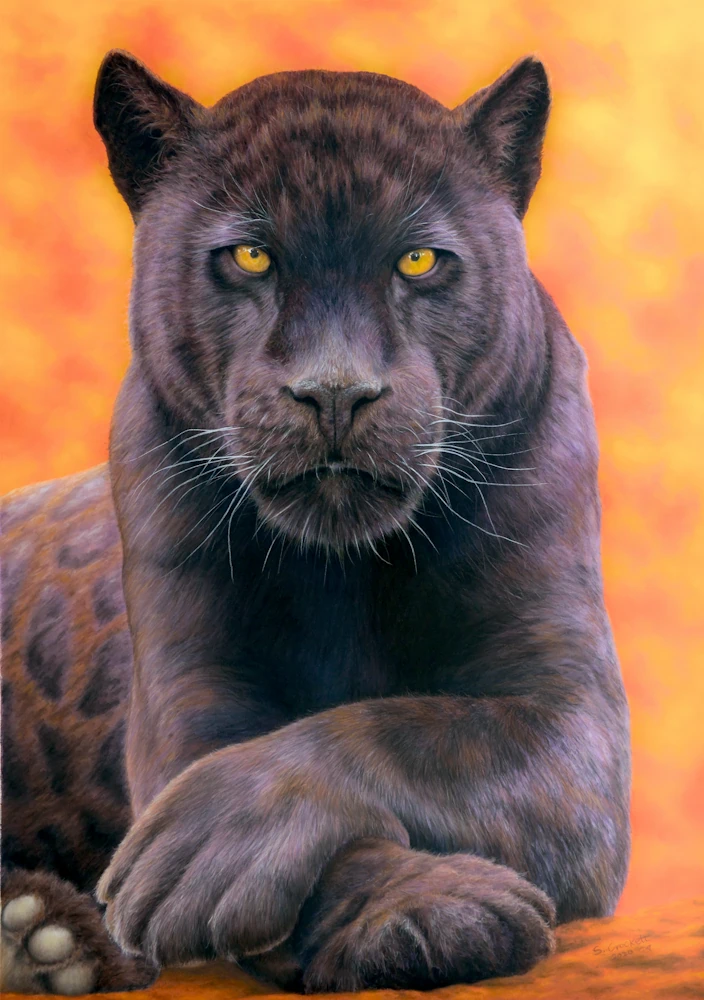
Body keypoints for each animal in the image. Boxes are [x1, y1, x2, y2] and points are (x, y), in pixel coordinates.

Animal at [1, 49, 631, 995]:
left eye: (419, 260)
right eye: (251, 256)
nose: (336, 391)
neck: (345, 572)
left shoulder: (567, 713)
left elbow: (403, 731)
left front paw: (210, 847)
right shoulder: (193, 693)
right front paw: (430, 910)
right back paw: (42, 940)